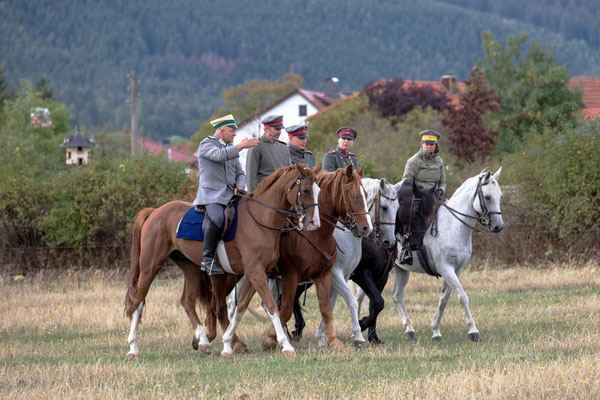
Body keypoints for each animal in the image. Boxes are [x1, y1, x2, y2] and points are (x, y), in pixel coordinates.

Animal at [124, 164, 322, 358]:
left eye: (318, 190)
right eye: (305, 190)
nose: (314, 223)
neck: (259, 219)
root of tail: (155, 211)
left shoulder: (254, 274)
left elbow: (240, 308)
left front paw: (228, 343)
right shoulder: (255, 272)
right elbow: (271, 306)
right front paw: (286, 345)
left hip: (190, 267)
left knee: (187, 301)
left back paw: (203, 341)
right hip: (150, 266)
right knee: (138, 302)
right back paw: (133, 348)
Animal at [392, 167, 504, 342]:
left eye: (500, 196)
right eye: (487, 197)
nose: (499, 226)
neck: (452, 226)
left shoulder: (456, 269)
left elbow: (444, 300)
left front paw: (436, 331)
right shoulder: (446, 268)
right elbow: (462, 296)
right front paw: (473, 331)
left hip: (401, 269)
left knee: (396, 296)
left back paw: (409, 330)